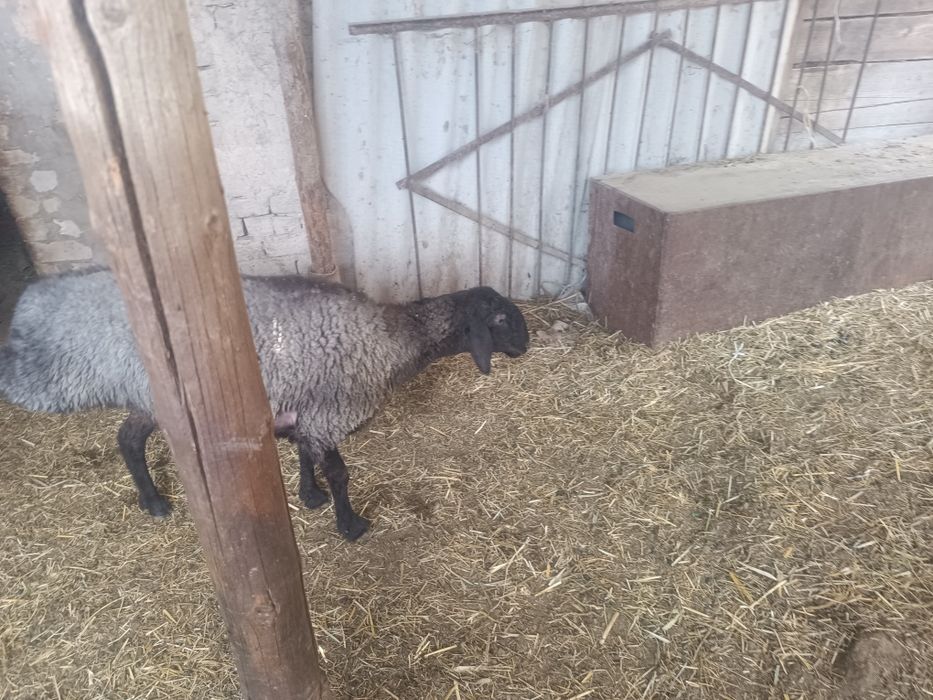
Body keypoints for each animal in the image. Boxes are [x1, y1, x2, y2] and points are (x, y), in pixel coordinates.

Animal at [0, 268, 529, 540]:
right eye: (502, 319)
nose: (526, 346)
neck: (393, 338)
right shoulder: (327, 413)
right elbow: (340, 473)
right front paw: (350, 524)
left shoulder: (304, 407)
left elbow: (304, 455)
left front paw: (310, 495)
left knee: (127, 439)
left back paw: (153, 501)